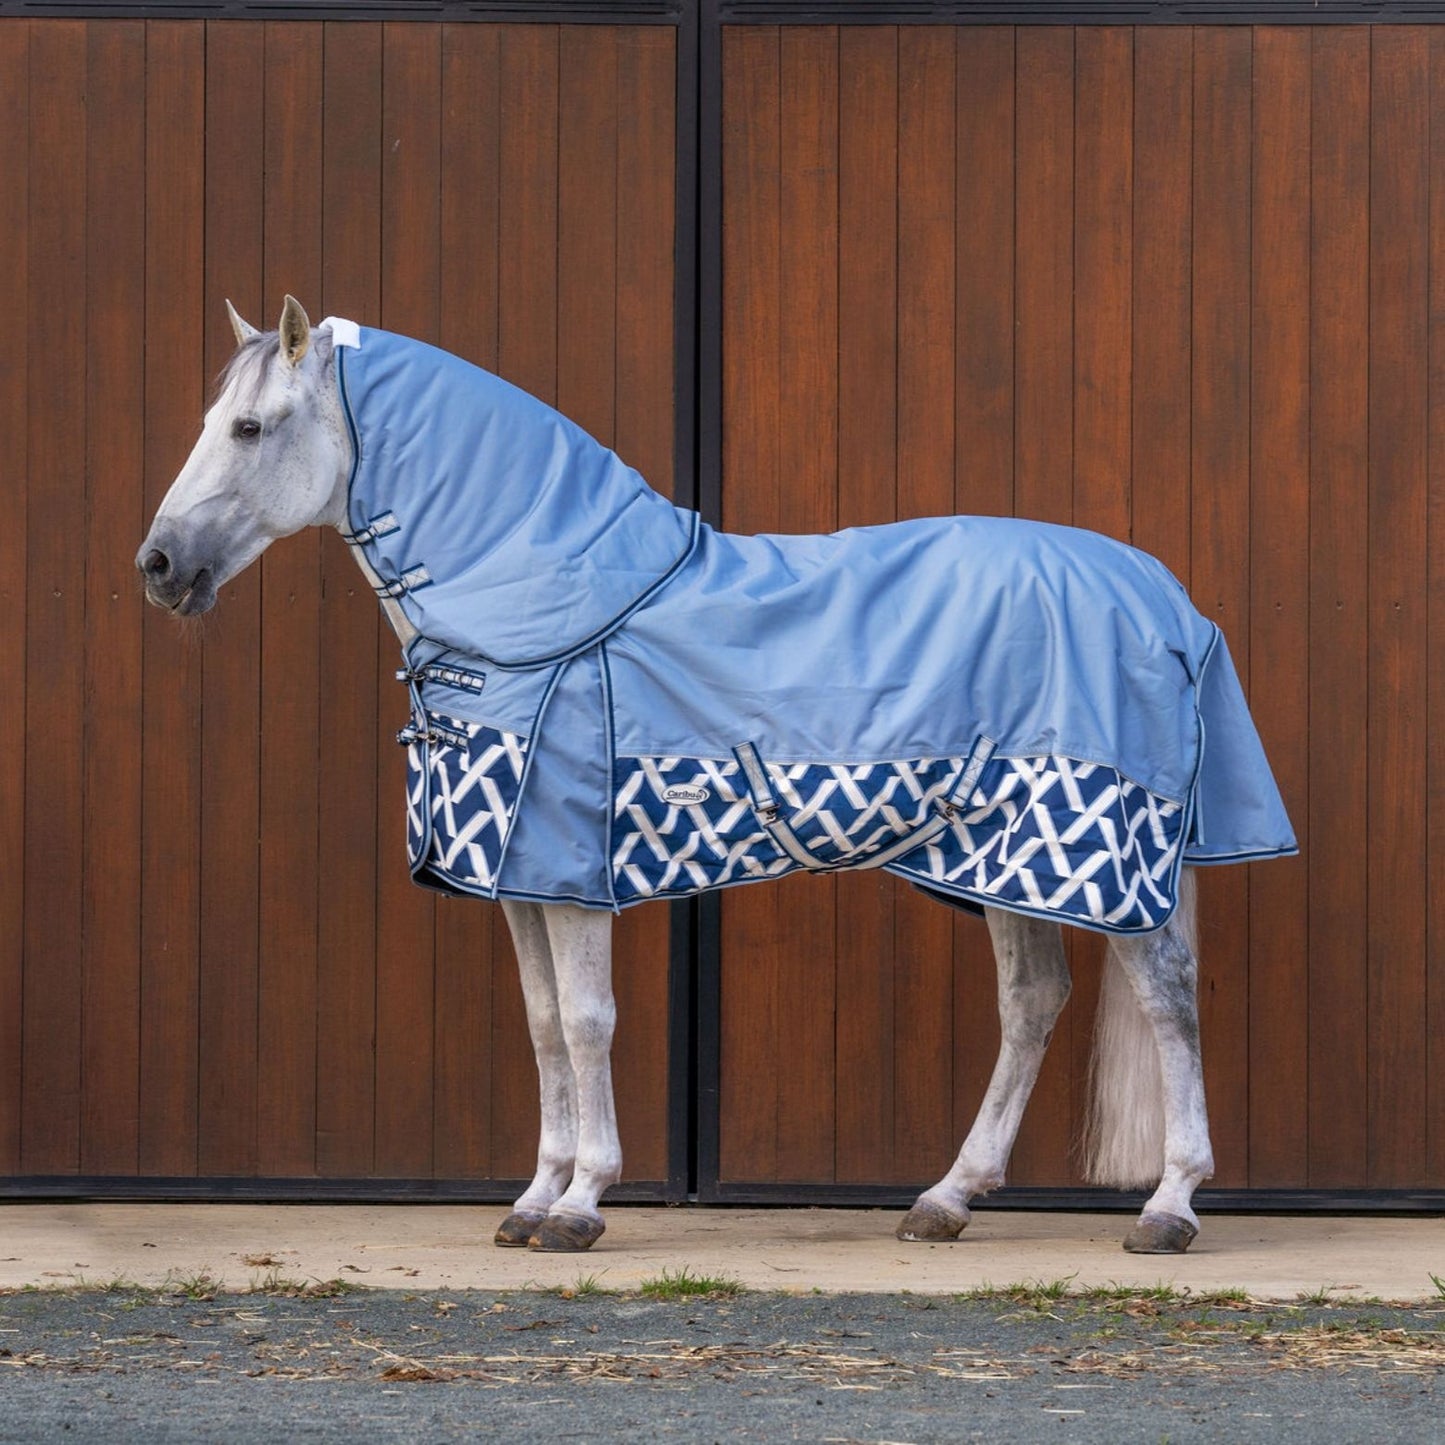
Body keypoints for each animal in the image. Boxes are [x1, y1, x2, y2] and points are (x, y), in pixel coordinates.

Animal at [138, 297, 1296, 1256]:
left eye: (250, 429)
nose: (156, 566)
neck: (545, 608)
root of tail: (1161, 594)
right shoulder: (518, 879)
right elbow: (543, 1023)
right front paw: (530, 1198)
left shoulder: (569, 873)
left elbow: (589, 1019)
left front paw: (579, 1204)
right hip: (1001, 861)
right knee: (1032, 1001)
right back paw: (945, 1199)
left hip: (1102, 861)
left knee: (1166, 1001)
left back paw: (1168, 1207)